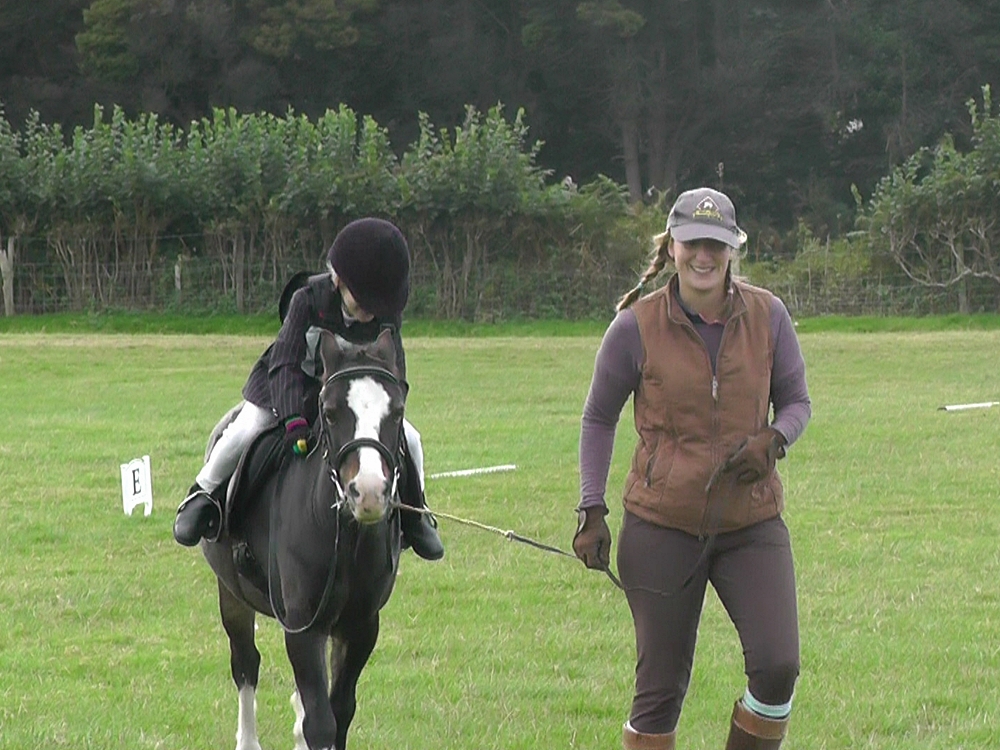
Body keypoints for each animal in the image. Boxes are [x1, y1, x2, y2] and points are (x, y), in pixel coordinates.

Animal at [199, 327, 407, 750]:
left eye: (396, 412)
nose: (369, 492)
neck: (345, 538)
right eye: (329, 412)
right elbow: (320, 721)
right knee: (245, 663)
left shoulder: (361, 625)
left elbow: (339, 711)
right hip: (231, 594)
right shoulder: (303, 626)